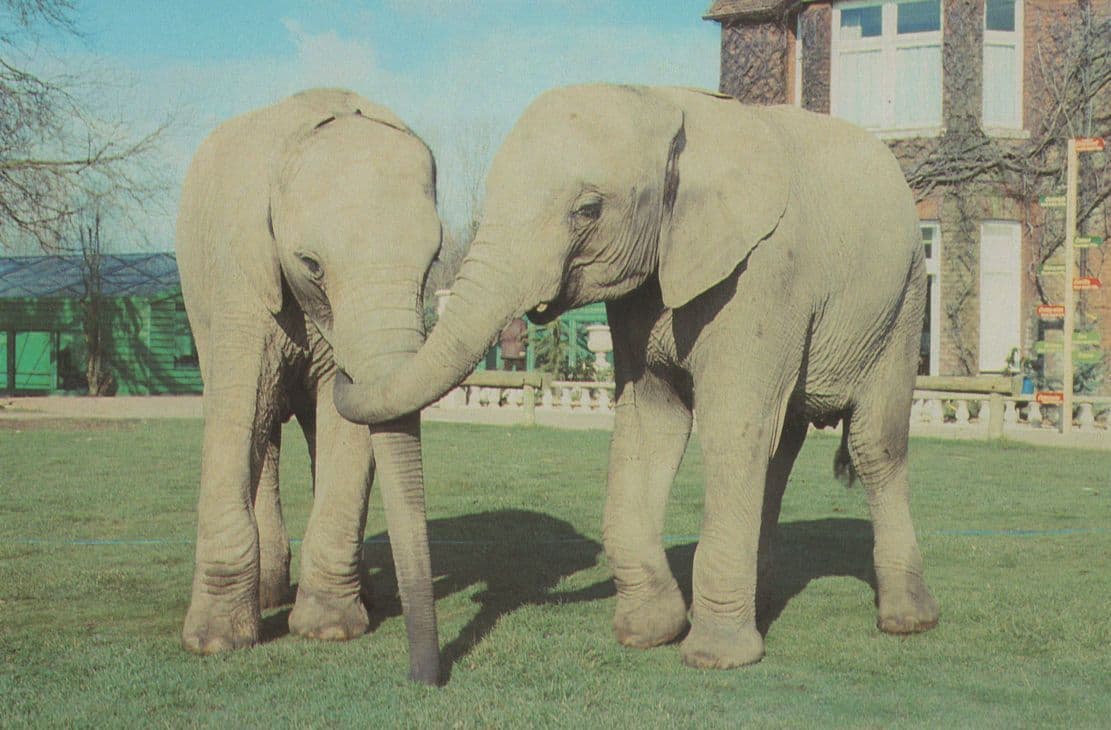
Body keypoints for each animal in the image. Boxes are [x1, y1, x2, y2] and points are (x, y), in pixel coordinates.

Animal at [175, 88, 441, 684]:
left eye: (435, 260)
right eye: (311, 265)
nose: (426, 677)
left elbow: (347, 427)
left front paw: (329, 630)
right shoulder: (240, 275)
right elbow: (238, 407)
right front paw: (213, 642)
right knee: (259, 420)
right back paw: (270, 596)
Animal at [333, 84, 939, 670]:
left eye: (588, 209)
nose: (427, 674)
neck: (666, 103)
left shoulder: (763, 273)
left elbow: (731, 425)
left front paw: (714, 658)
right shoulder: (640, 296)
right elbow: (649, 423)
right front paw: (648, 634)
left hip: (903, 301)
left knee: (872, 445)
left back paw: (906, 621)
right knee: (778, 449)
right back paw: (765, 603)